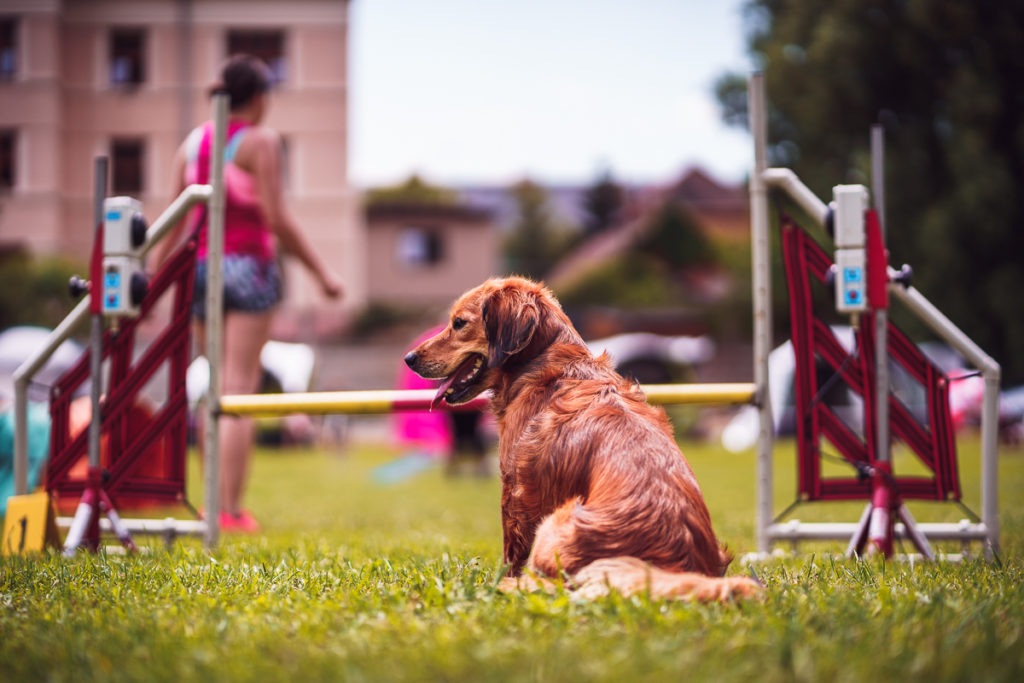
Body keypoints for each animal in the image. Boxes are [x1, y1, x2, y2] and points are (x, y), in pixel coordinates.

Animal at [403, 274, 765, 602]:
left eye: (459, 323)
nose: (409, 358)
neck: (547, 365)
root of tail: (670, 564)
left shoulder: (515, 490)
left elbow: (511, 556)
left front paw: (500, 581)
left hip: (554, 525)